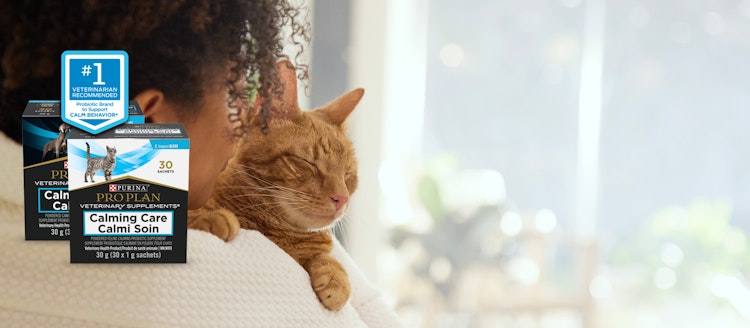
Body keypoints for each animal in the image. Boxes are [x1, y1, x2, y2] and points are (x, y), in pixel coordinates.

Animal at [188, 60, 364, 310]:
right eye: (309, 162)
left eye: (347, 174)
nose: (342, 199)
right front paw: (211, 216)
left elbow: (326, 258)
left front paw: (335, 276)